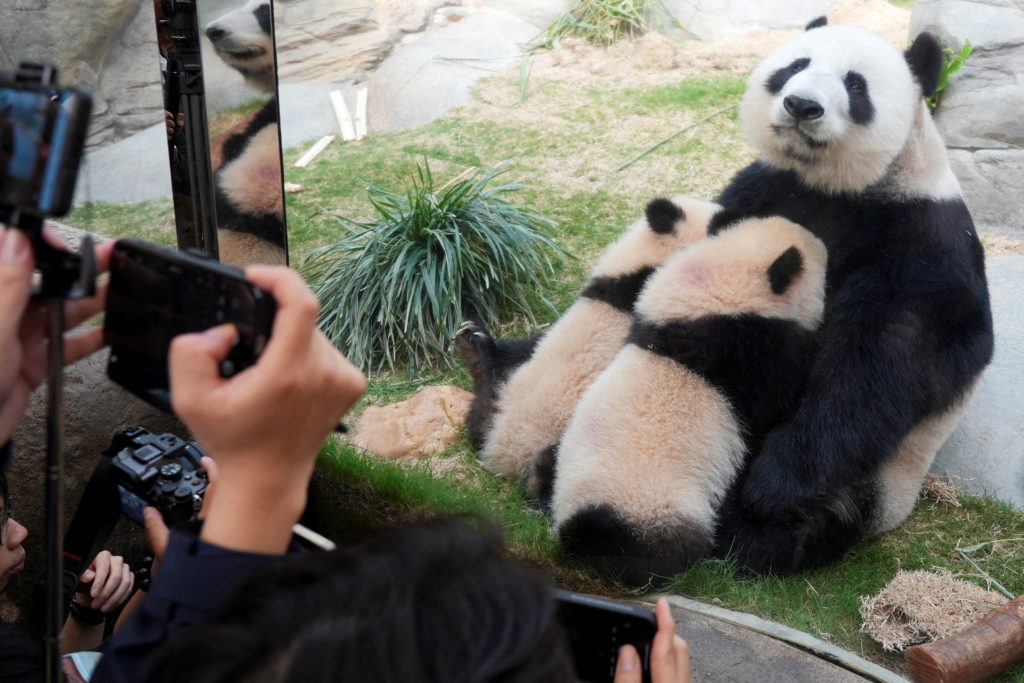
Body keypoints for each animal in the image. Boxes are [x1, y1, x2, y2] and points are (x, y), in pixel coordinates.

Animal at [551, 217, 827, 586]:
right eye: (818, 262)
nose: (824, 243)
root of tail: (586, 525)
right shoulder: (741, 350)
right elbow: (773, 395)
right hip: (658, 507)